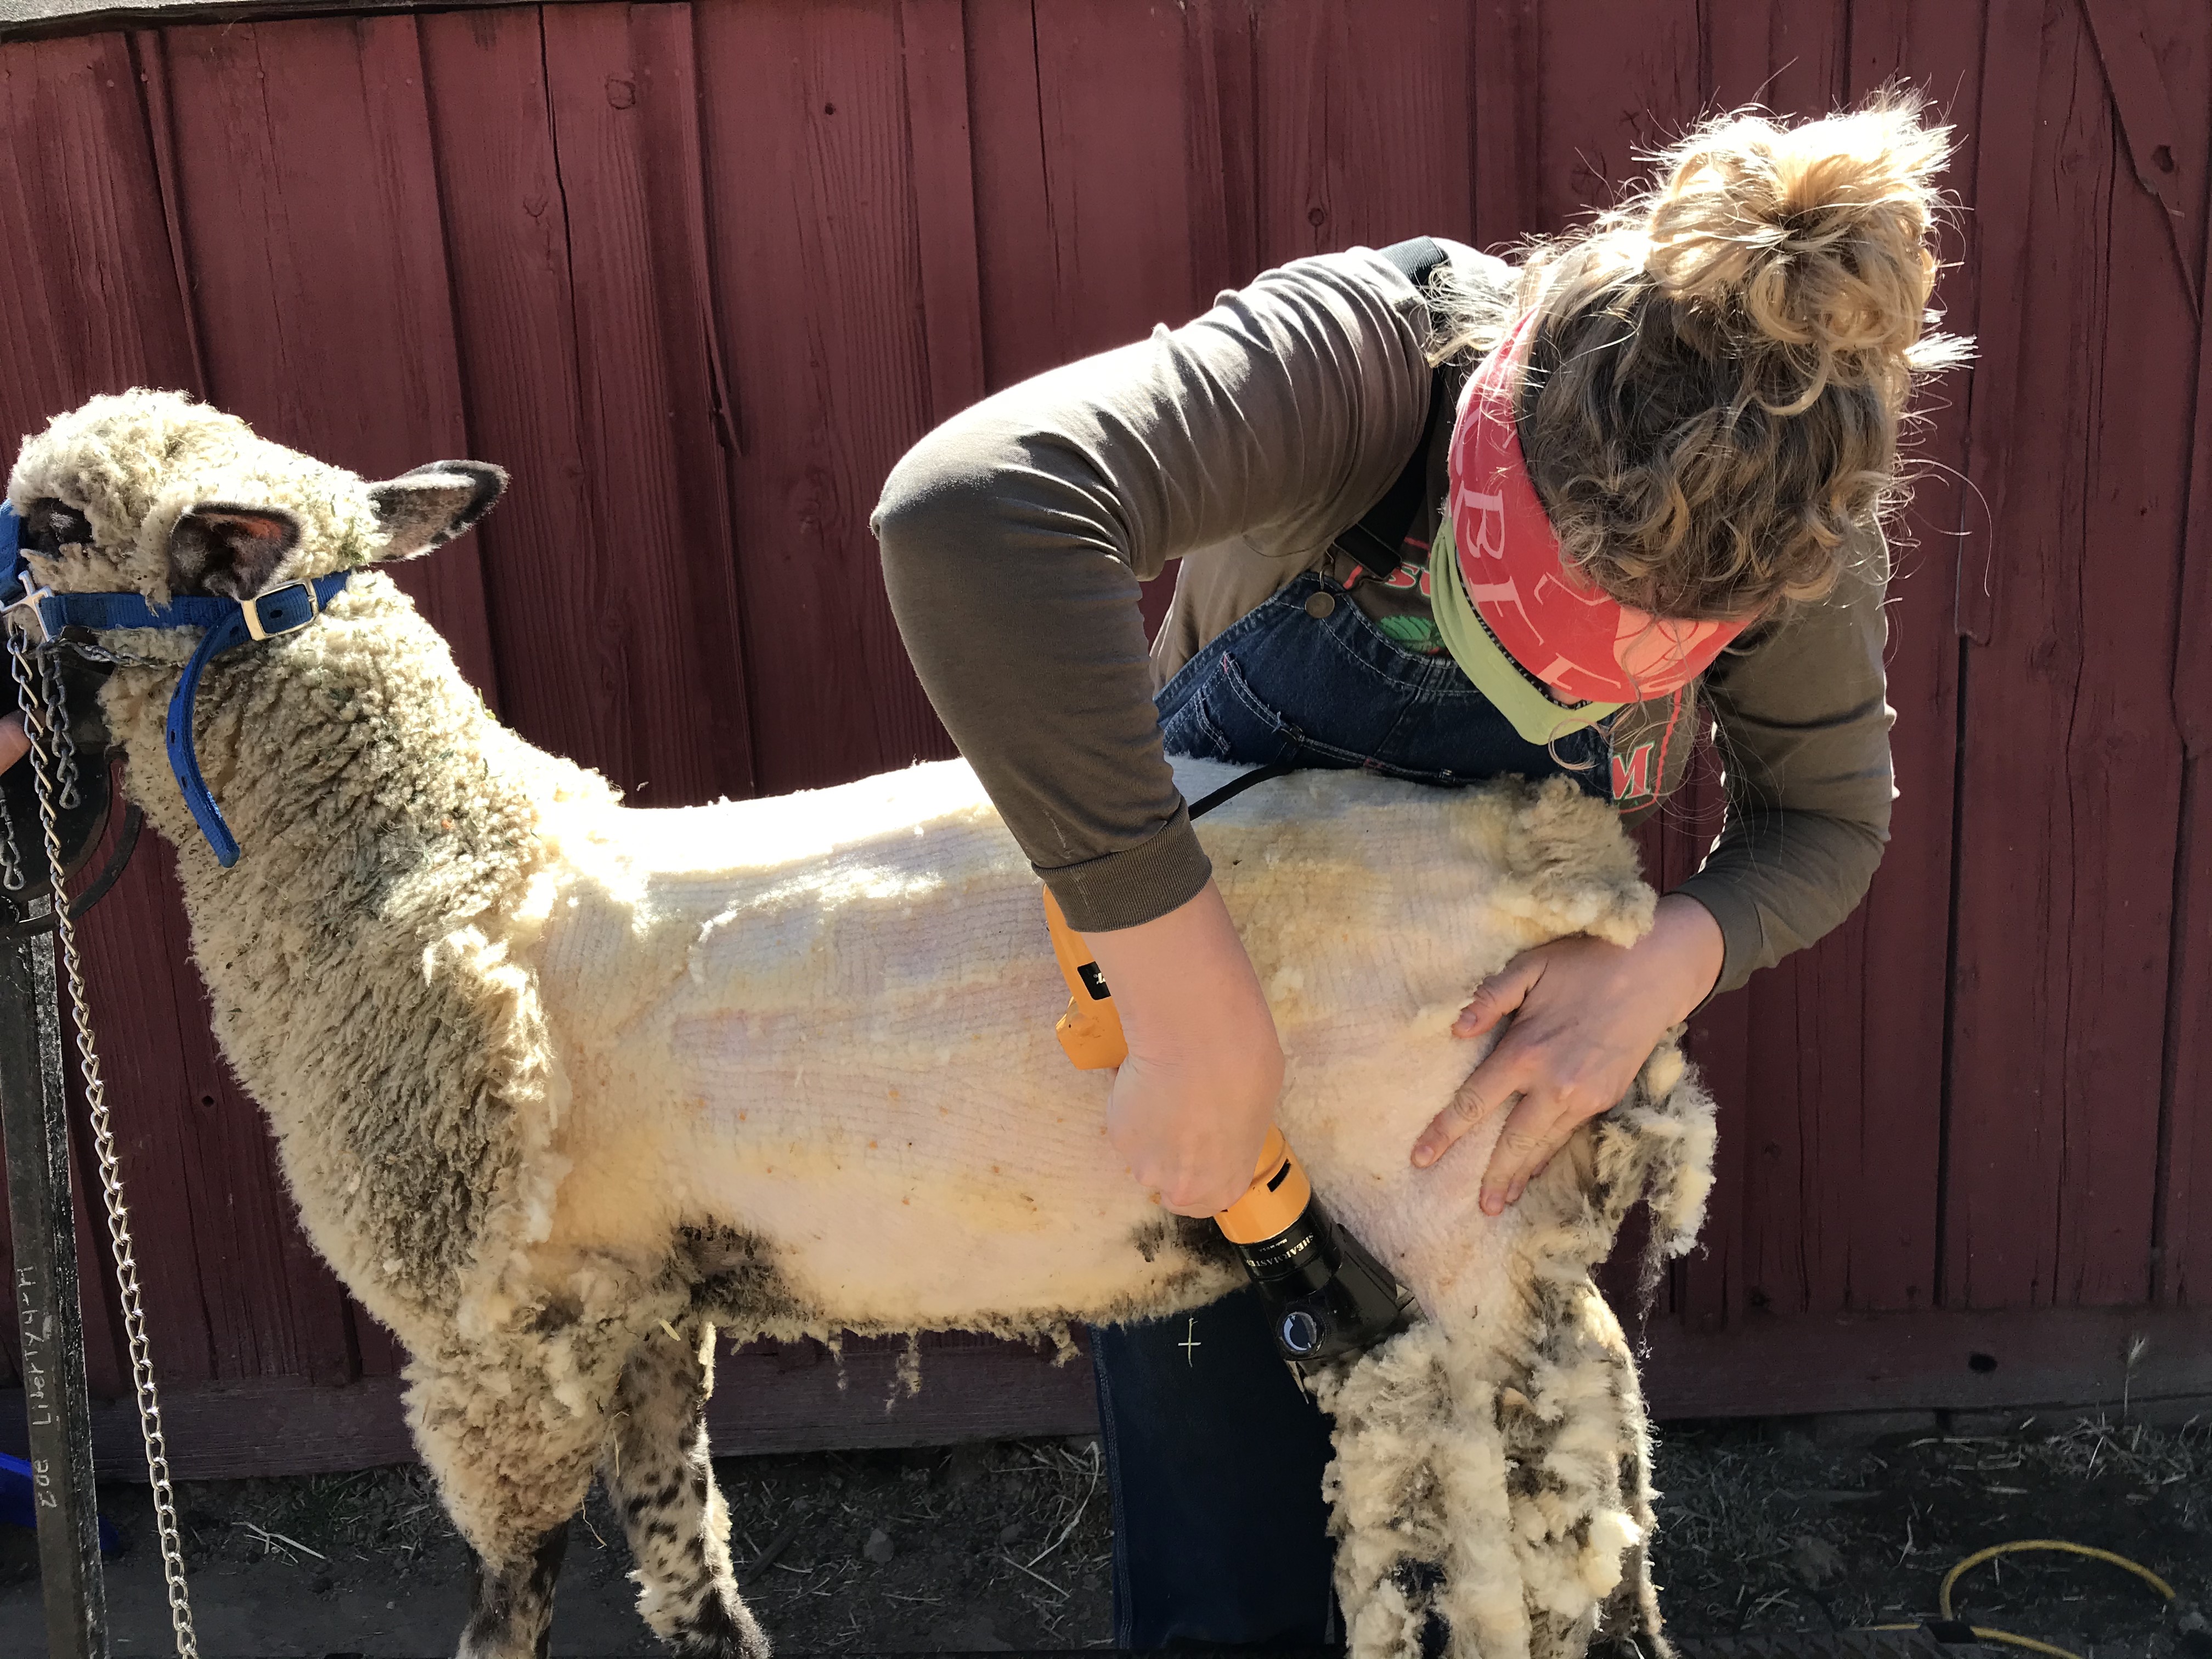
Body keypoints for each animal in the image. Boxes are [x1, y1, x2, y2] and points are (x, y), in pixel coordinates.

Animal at [7, 390, 1715, 1659]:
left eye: (51, 520)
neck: (434, 856)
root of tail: (1559, 874)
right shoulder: (639, 1309)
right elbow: (689, 1572)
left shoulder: (481, 1333)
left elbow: (510, 1600)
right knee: (1615, 1484)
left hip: (1447, 1206)